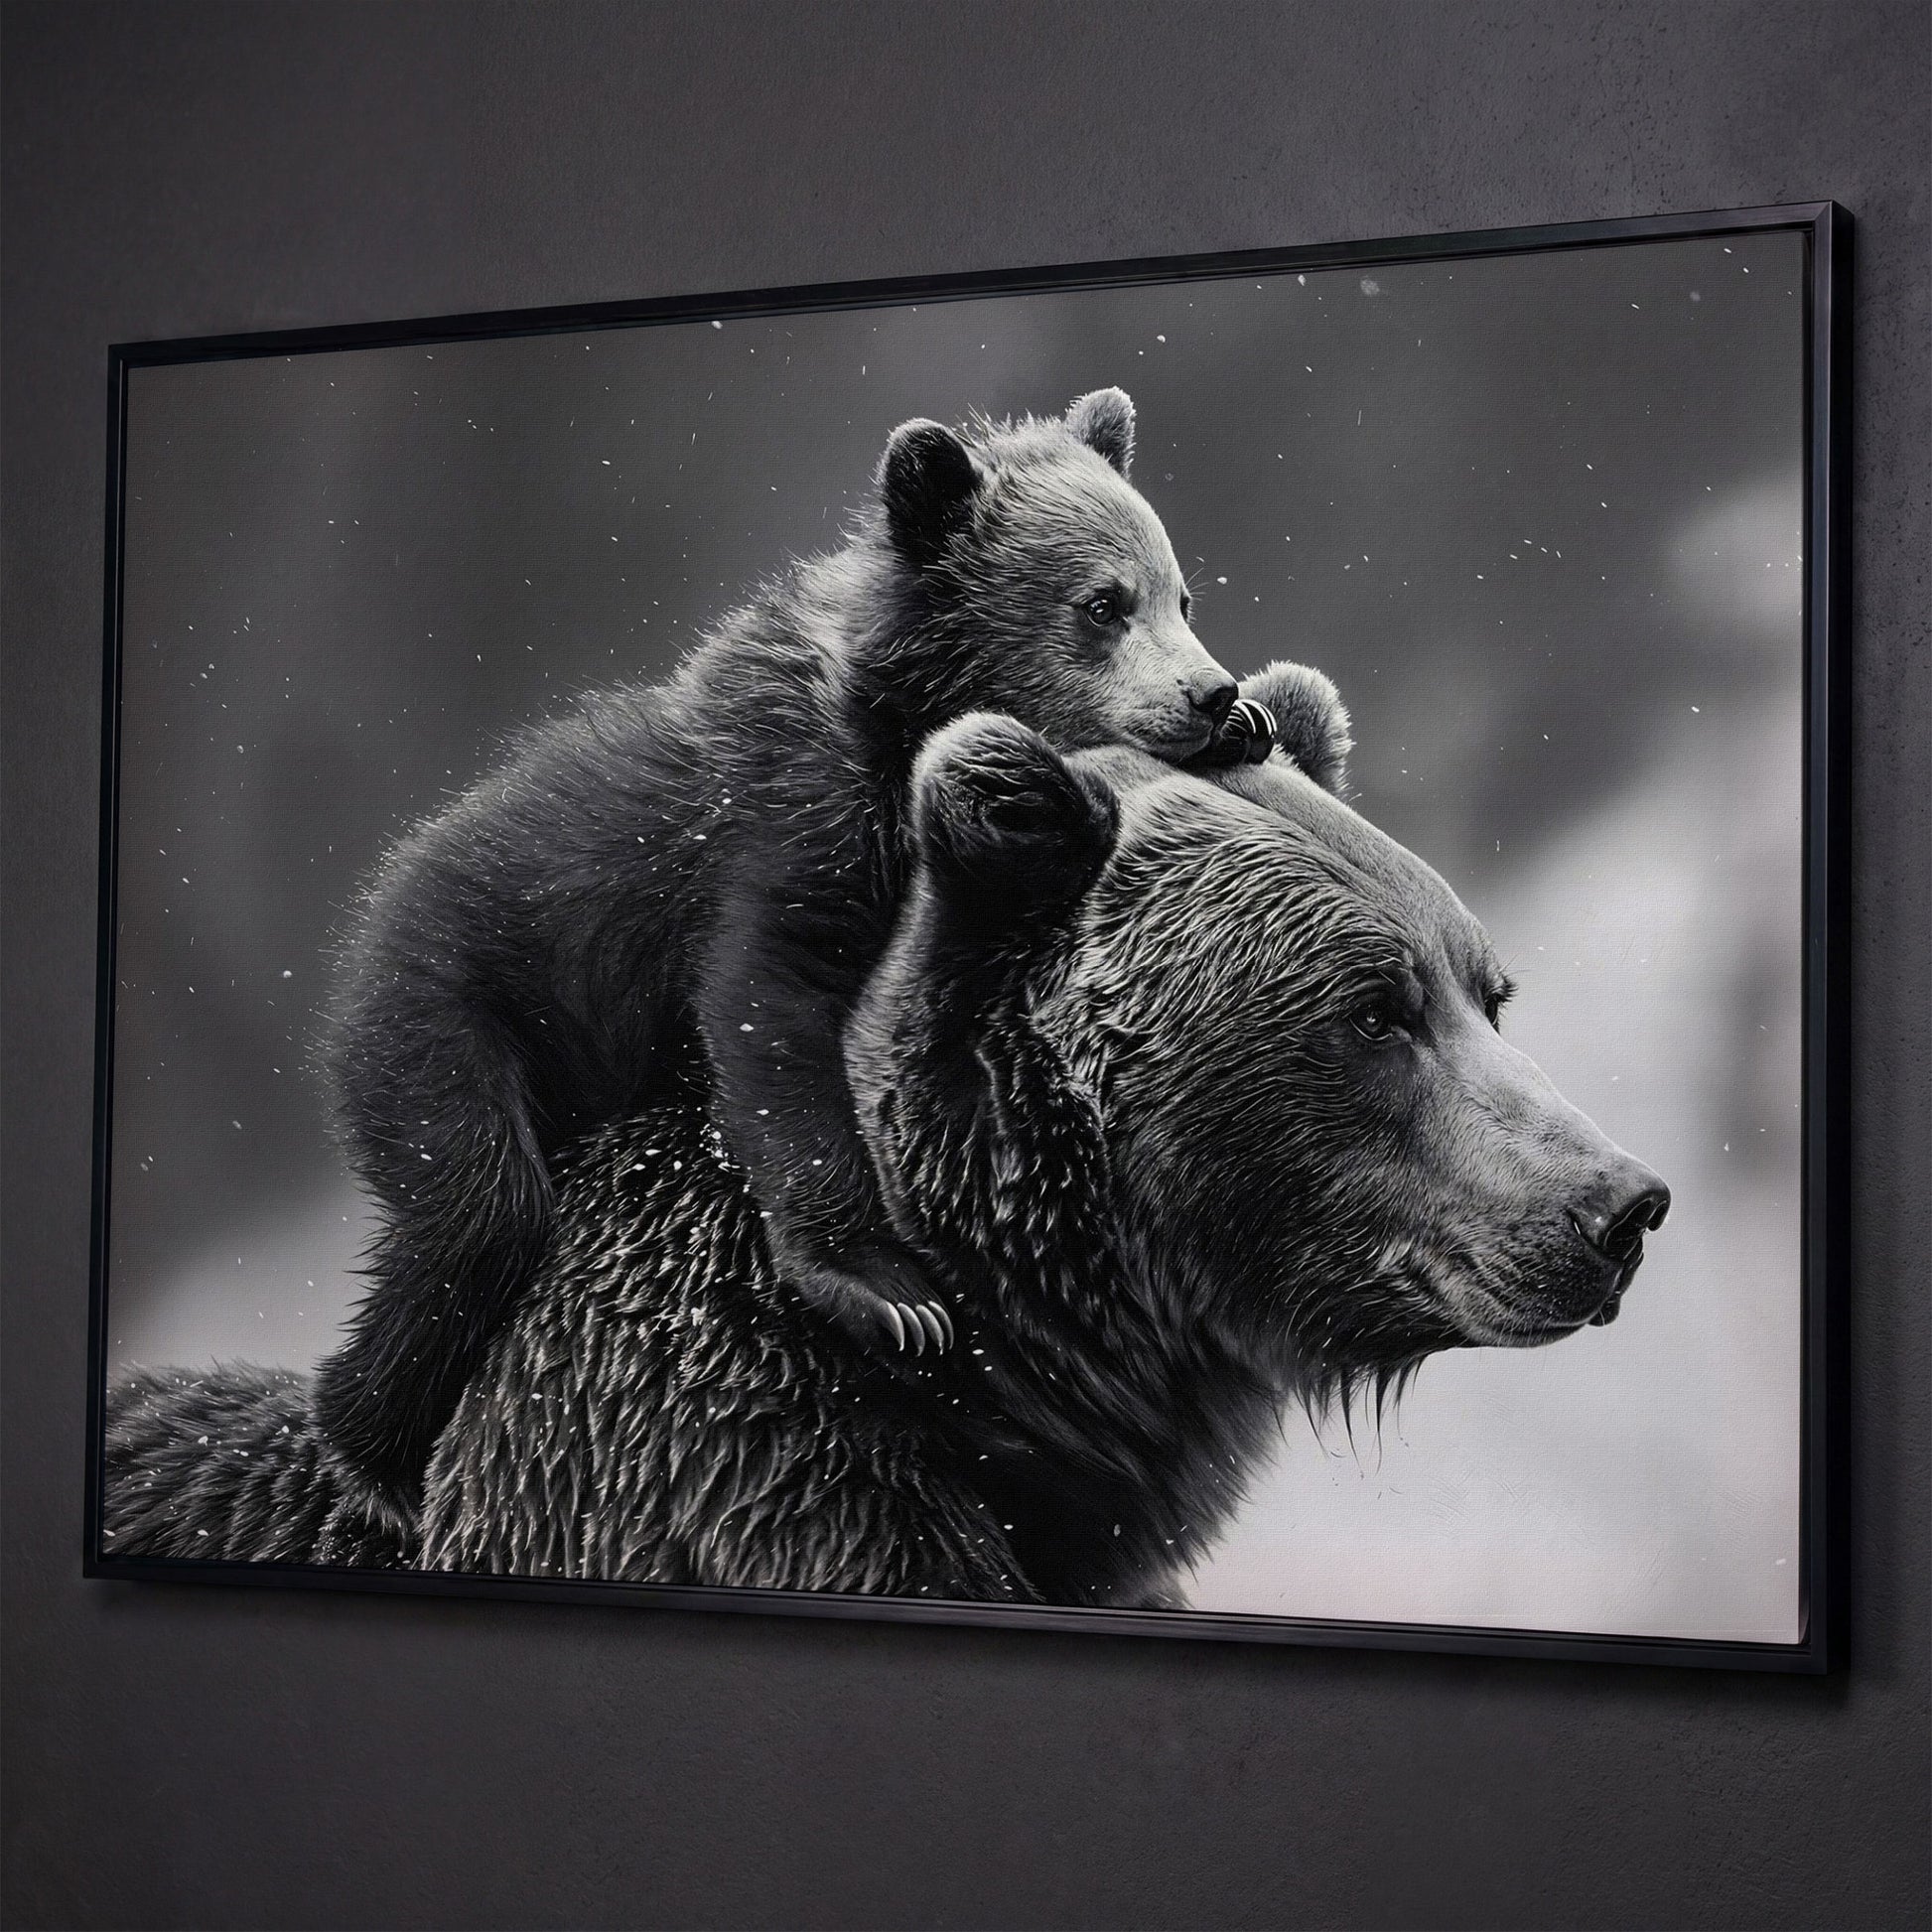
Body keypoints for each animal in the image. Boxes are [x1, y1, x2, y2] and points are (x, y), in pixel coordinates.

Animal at [310, 387, 1246, 1530]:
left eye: (1180, 593)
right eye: (1102, 604)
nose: (1209, 693)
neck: (896, 720)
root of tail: (372, 911)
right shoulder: (789, 822)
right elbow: (774, 1012)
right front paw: (888, 1290)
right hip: (447, 1008)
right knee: (476, 1210)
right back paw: (375, 1454)